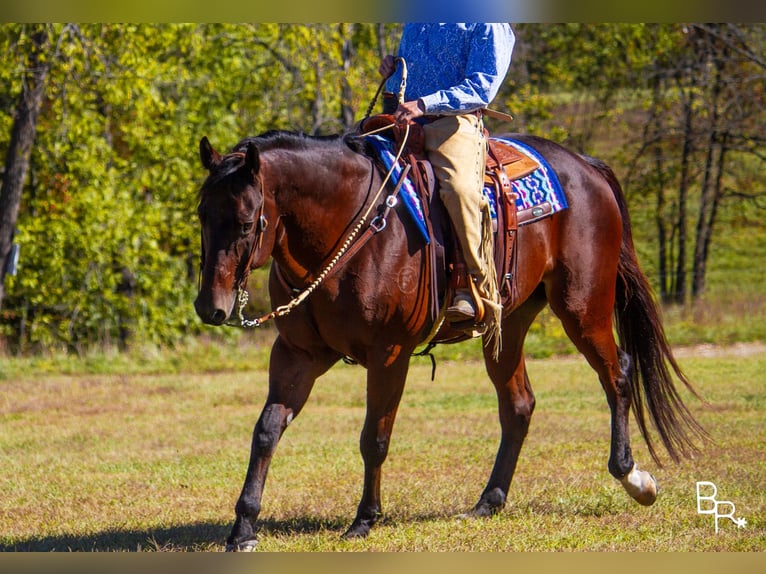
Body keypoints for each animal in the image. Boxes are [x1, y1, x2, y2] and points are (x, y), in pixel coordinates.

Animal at [194, 128, 708, 552]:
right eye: (202, 215)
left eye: (246, 222)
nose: (210, 306)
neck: (349, 231)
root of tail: (586, 167)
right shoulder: (297, 354)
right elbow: (266, 430)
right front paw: (243, 528)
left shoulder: (390, 354)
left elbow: (374, 437)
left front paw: (364, 519)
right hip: (509, 324)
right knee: (519, 405)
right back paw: (489, 500)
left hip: (582, 306)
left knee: (617, 373)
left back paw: (632, 476)